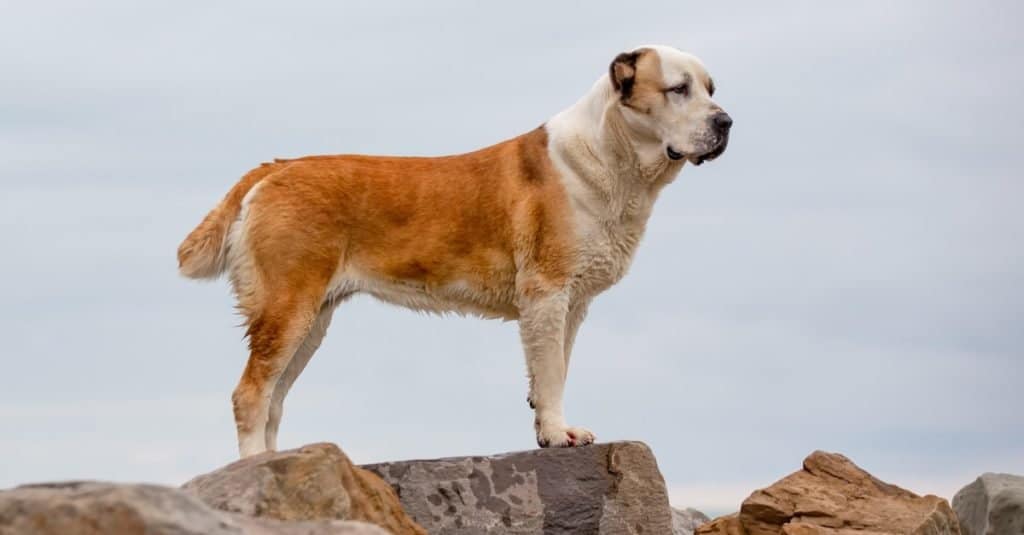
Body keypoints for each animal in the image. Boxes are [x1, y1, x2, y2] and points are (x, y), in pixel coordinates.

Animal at [180, 43, 733, 455]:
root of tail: (274, 168)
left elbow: (552, 368)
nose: (726, 121)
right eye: (678, 89)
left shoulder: (571, 305)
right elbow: (552, 371)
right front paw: (559, 434)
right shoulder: (548, 293)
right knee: (250, 394)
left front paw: (547, 430)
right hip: (287, 307)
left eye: (710, 89)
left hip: (311, 319)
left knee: (273, 399)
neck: (609, 155)